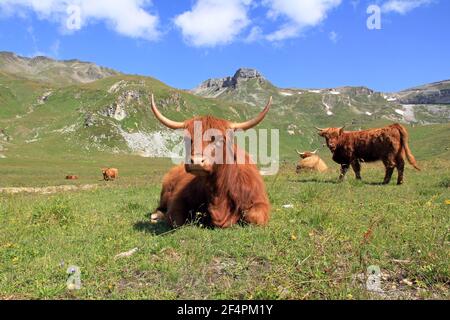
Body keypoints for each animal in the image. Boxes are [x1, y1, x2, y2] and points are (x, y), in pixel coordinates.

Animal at [149, 94, 272, 229]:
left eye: (218, 139)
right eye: (187, 139)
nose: (196, 161)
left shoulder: (260, 201)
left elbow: (254, 217)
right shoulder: (178, 199)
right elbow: (176, 219)